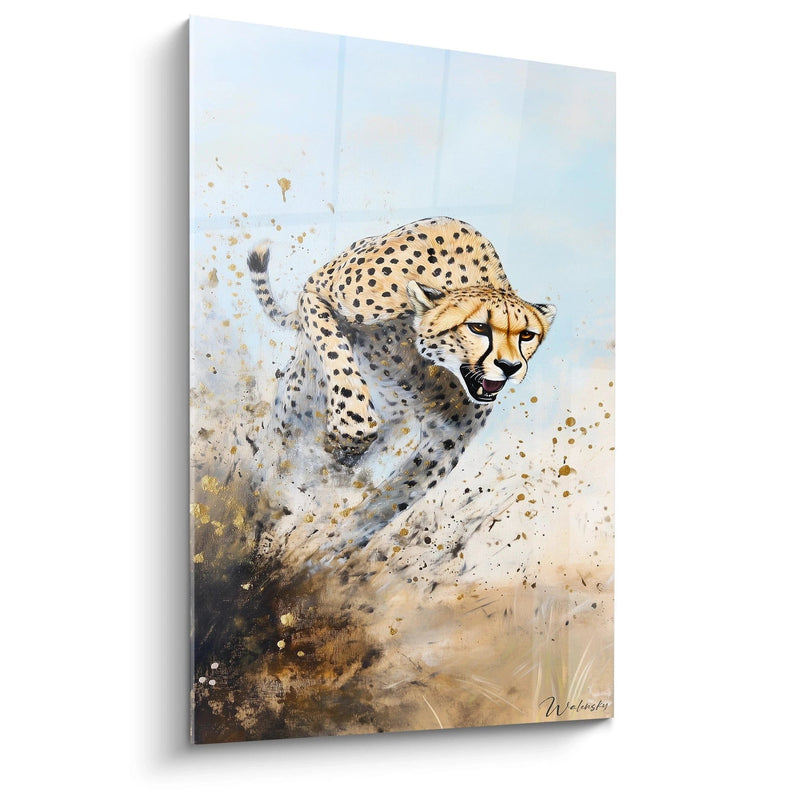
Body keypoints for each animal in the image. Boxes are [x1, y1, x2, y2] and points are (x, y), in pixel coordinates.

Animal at [247, 216, 555, 545]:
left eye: (527, 335)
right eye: (478, 327)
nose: (510, 367)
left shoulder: (446, 440)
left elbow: (386, 504)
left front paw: (325, 547)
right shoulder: (314, 293)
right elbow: (333, 344)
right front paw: (353, 422)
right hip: (297, 408)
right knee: (279, 456)